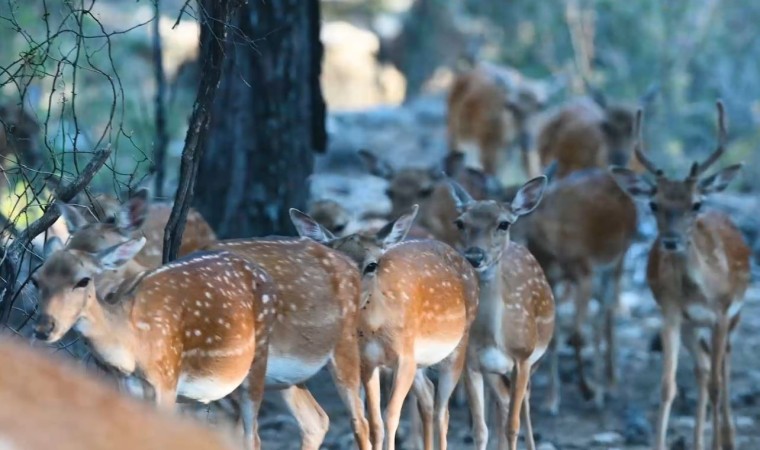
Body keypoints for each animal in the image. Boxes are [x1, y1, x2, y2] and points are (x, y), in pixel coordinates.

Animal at [32, 227, 278, 448]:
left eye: (83, 280)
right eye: (36, 280)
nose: (44, 328)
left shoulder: (167, 379)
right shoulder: (126, 384)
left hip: (258, 362)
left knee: (253, 436)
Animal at [288, 206, 478, 450]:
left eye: (372, 265)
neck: (376, 329)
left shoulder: (405, 357)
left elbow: (391, 416)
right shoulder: (368, 362)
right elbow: (375, 422)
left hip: (458, 346)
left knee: (443, 413)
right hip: (419, 362)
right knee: (428, 395)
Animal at [448, 173, 556, 450]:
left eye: (504, 224)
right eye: (460, 223)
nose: (475, 256)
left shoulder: (523, 357)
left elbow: (513, 426)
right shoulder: (472, 364)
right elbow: (480, 429)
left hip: (534, 358)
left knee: (523, 402)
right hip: (495, 372)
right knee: (502, 404)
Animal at [608, 102, 752, 450]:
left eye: (696, 203)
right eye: (653, 203)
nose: (671, 241)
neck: (698, 290)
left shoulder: (722, 313)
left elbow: (717, 384)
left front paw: (719, 443)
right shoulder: (671, 313)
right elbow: (667, 385)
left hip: (734, 316)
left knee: (724, 367)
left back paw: (728, 437)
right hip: (690, 326)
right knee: (702, 367)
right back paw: (700, 440)